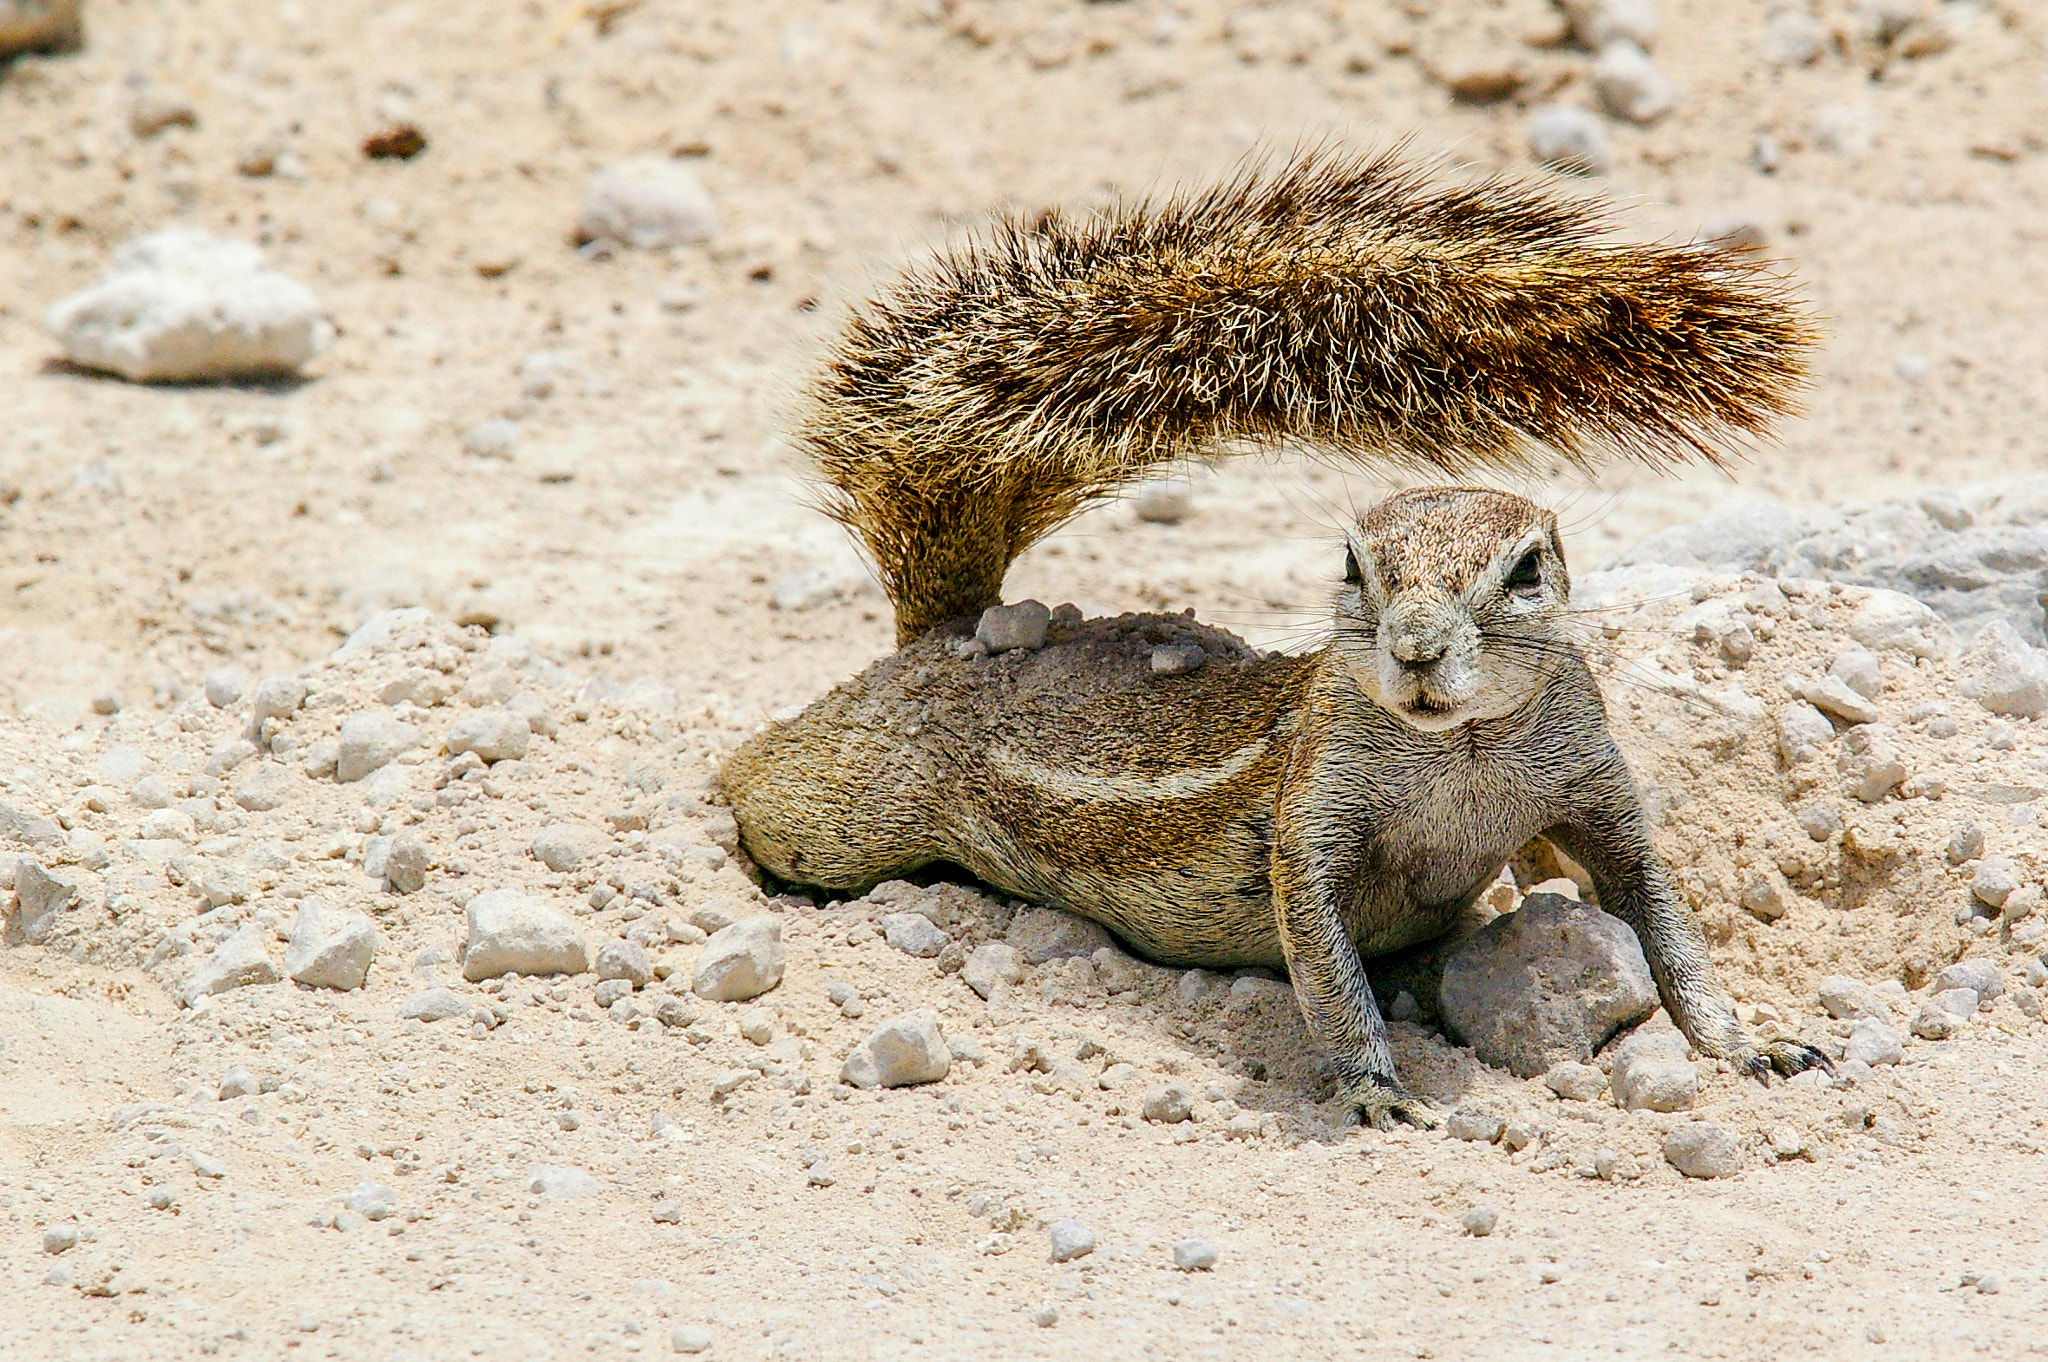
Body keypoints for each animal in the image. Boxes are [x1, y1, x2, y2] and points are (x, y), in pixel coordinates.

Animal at [716, 151, 1826, 1122]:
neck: (1460, 754)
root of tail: (957, 629)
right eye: (1353, 567)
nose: (1415, 648)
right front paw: (1373, 1089)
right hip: (843, 811)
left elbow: (1668, 927)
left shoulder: (1597, 786)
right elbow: (1327, 968)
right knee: (760, 785)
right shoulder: (1312, 812)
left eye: (1522, 572)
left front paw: (1751, 1042)